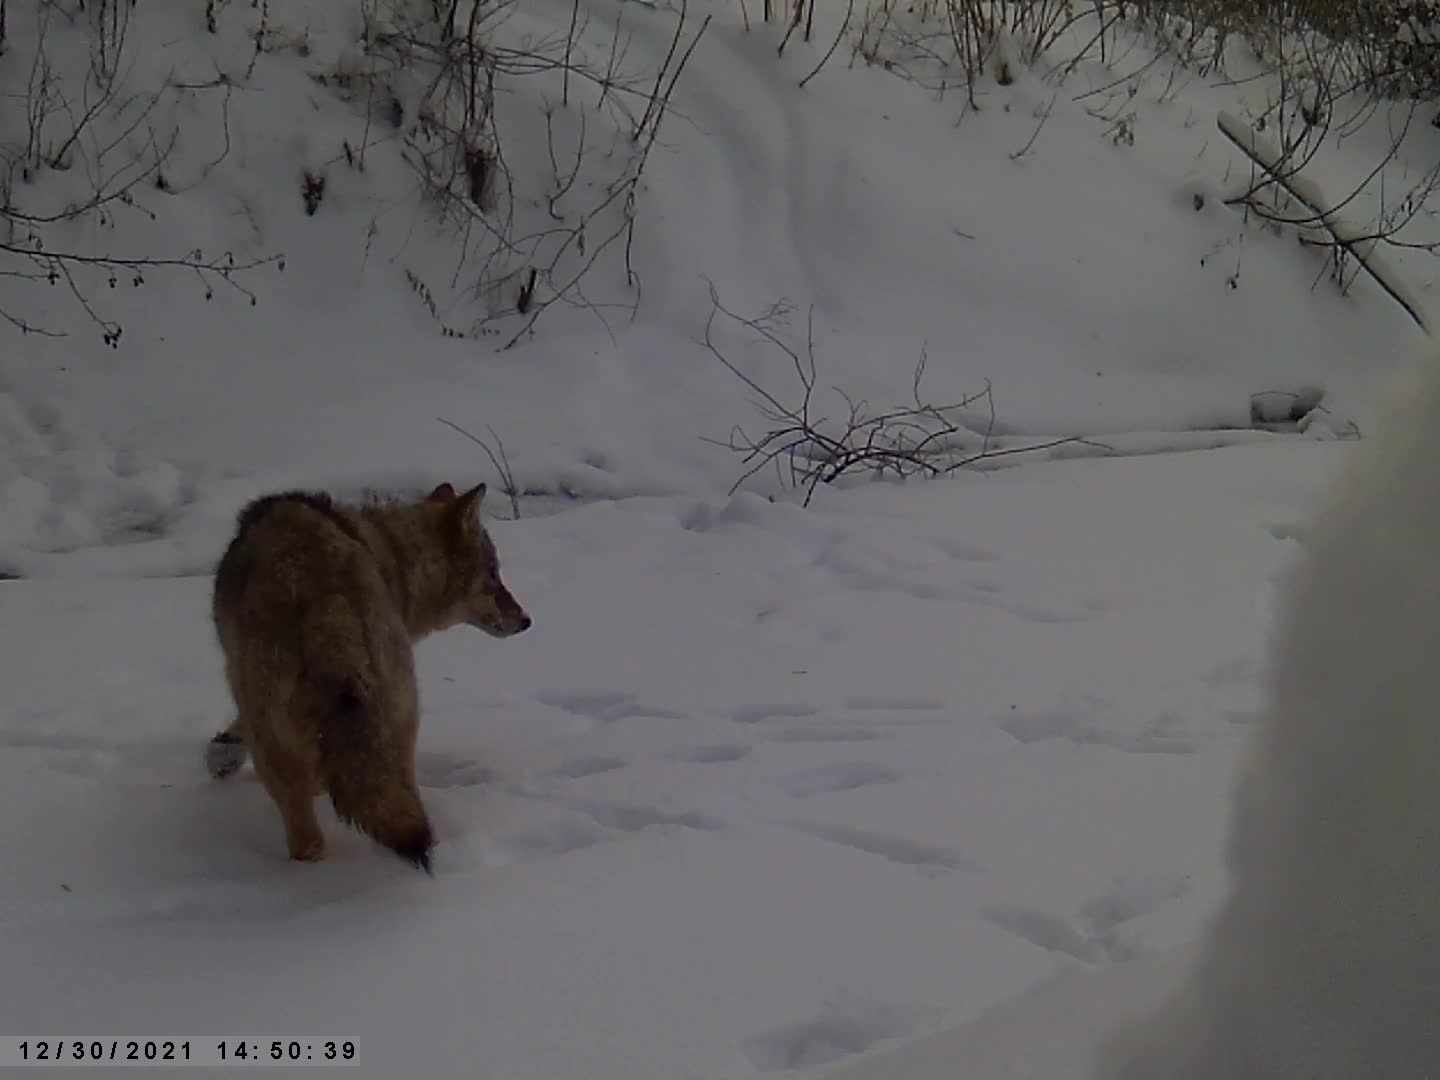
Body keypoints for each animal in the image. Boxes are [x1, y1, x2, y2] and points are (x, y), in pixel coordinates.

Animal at [205, 486, 532, 875]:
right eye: (493, 574)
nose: (526, 620)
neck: (391, 556)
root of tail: (326, 601)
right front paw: (222, 754)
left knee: (311, 837)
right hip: (398, 721)